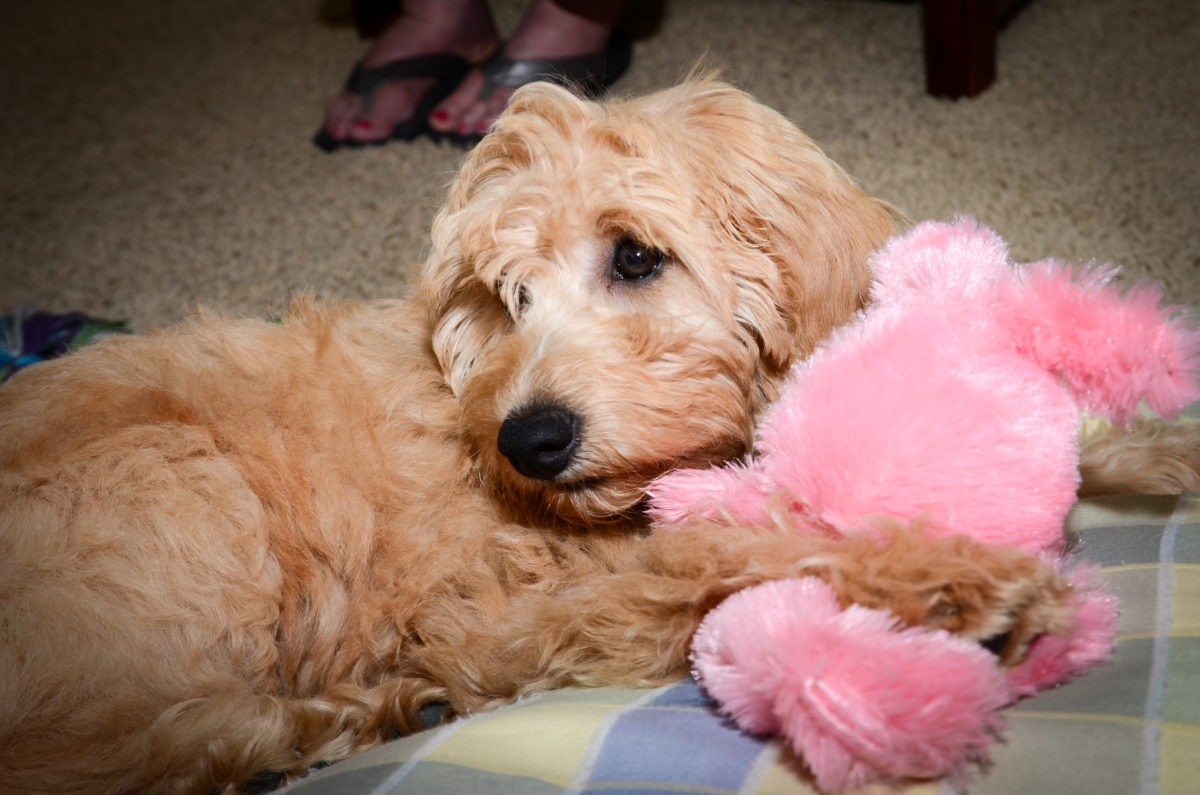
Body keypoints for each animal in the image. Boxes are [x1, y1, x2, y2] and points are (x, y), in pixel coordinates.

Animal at [0, 78, 1195, 792]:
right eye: (502, 298)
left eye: (634, 256)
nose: (528, 440)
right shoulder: (502, 620)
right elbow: (722, 554)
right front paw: (949, 578)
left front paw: (1158, 448)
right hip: (180, 481)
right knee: (93, 755)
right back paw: (332, 725)